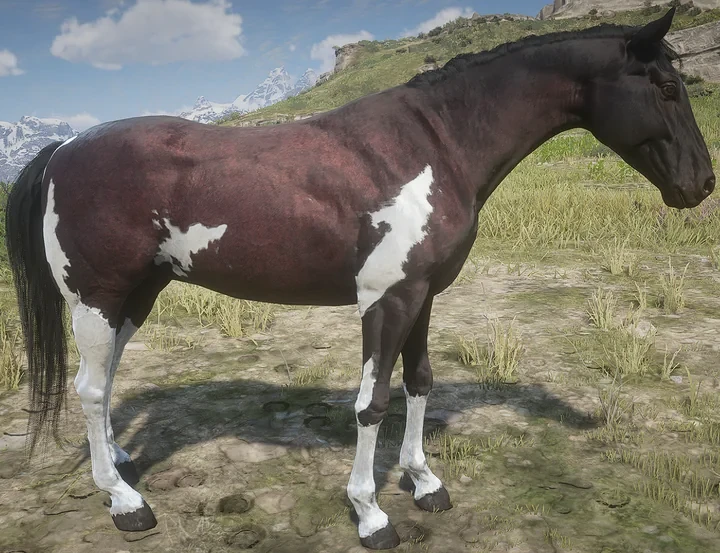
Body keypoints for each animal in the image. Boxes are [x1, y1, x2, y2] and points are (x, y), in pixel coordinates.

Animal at [4, 7, 715, 550]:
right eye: (665, 87)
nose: (701, 184)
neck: (435, 145)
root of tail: (64, 149)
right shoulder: (385, 300)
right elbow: (372, 403)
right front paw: (371, 513)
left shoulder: (423, 295)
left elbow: (419, 381)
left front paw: (425, 483)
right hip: (95, 296)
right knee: (90, 389)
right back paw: (125, 502)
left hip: (137, 295)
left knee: (106, 381)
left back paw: (122, 464)